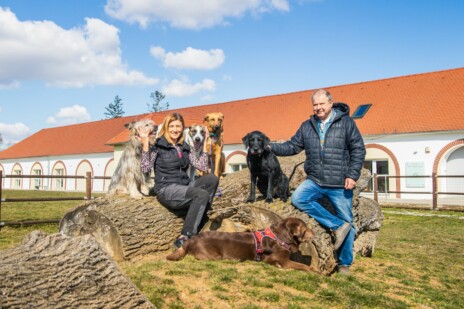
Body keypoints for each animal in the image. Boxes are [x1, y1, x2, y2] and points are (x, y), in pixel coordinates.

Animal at [166, 217, 316, 272]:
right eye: (306, 228)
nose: (313, 232)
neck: (281, 237)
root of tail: (192, 239)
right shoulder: (282, 260)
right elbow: (302, 266)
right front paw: (314, 270)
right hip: (214, 256)